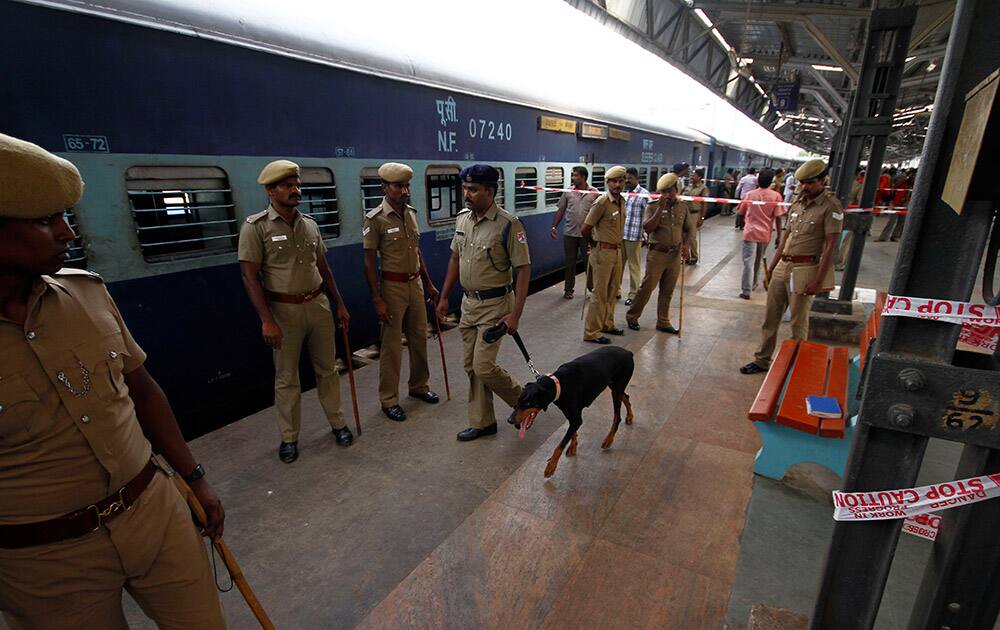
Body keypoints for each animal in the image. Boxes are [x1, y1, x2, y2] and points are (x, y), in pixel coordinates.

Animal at [512, 346, 636, 478]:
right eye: (518, 400)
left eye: (527, 404)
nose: (510, 420)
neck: (559, 384)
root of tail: (628, 353)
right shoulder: (568, 412)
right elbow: (572, 432)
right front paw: (573, 446)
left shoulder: (576, 418)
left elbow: (560, 445)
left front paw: (551, 467)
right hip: (613, 386)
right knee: (626, 397)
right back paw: (630, 416)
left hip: (617, 388)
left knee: (617, 416)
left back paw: (609, 439)